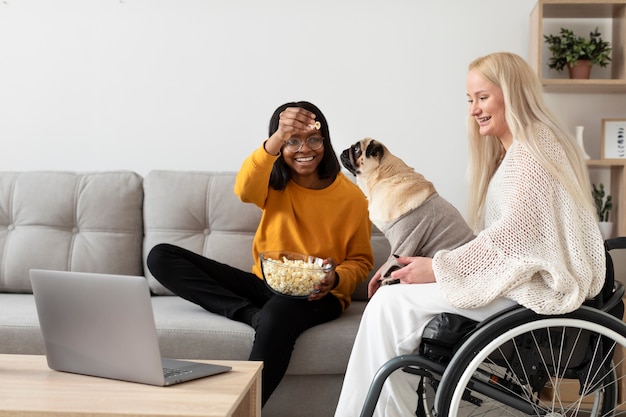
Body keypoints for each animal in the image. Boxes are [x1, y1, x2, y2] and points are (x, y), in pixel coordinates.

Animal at [342, 138, 472, 284]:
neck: (381, 176)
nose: (344, 151)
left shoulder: (405, 237)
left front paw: (388, 279)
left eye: (357, 149)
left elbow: (394, 262)